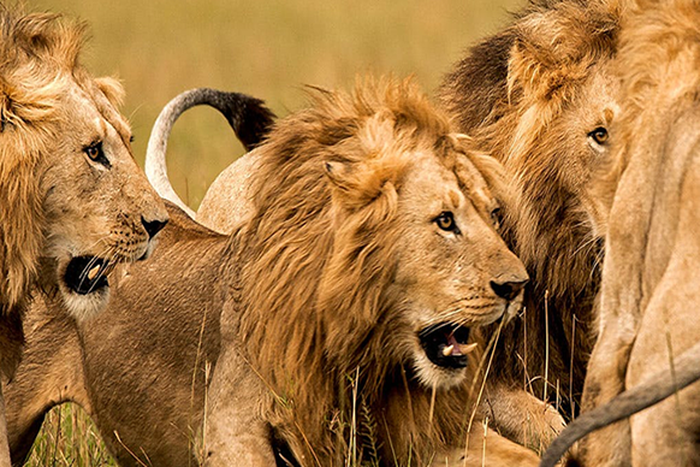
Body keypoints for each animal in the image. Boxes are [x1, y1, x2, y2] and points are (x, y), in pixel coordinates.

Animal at [5, 78, 541, 466]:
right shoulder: (228, 433)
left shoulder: (421, 429)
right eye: (445, 221)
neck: (363, 350)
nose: (517, 287)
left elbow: (527, 449)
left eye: (494, 215)